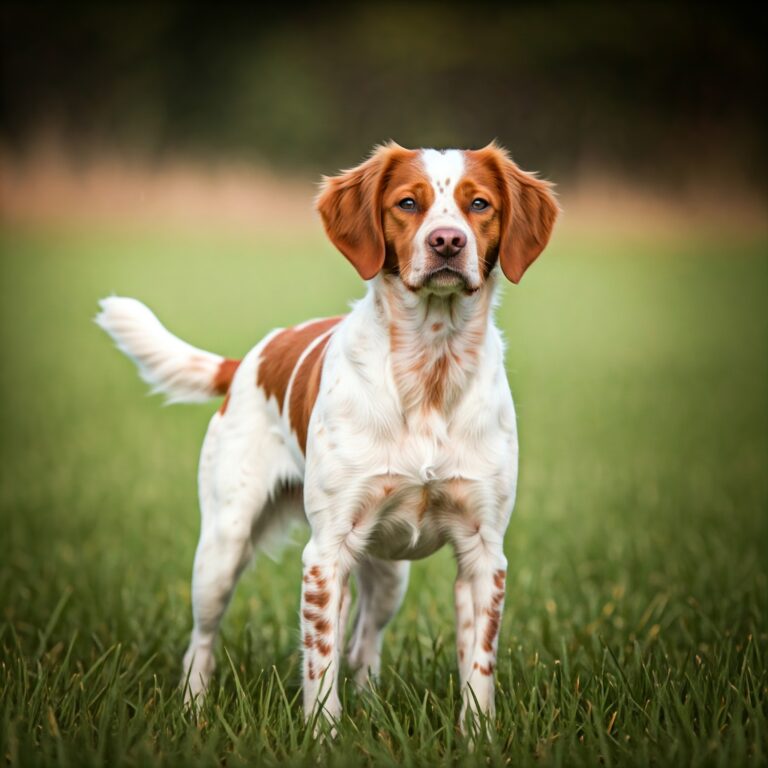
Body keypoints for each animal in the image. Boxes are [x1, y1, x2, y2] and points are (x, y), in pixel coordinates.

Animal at [97, 142, 560, 732]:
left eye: (478, 203)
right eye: (407, 202)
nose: (447, 242)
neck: (429, 371)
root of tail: (248, 358)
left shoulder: (484, 552)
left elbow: (478, 666)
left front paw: (477, 737)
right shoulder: (326, 551)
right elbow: (319, 664)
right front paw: (323, 736)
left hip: (388, 574)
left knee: (364, 643)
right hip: (222, 546)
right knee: (202, 640)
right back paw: (194, 707)